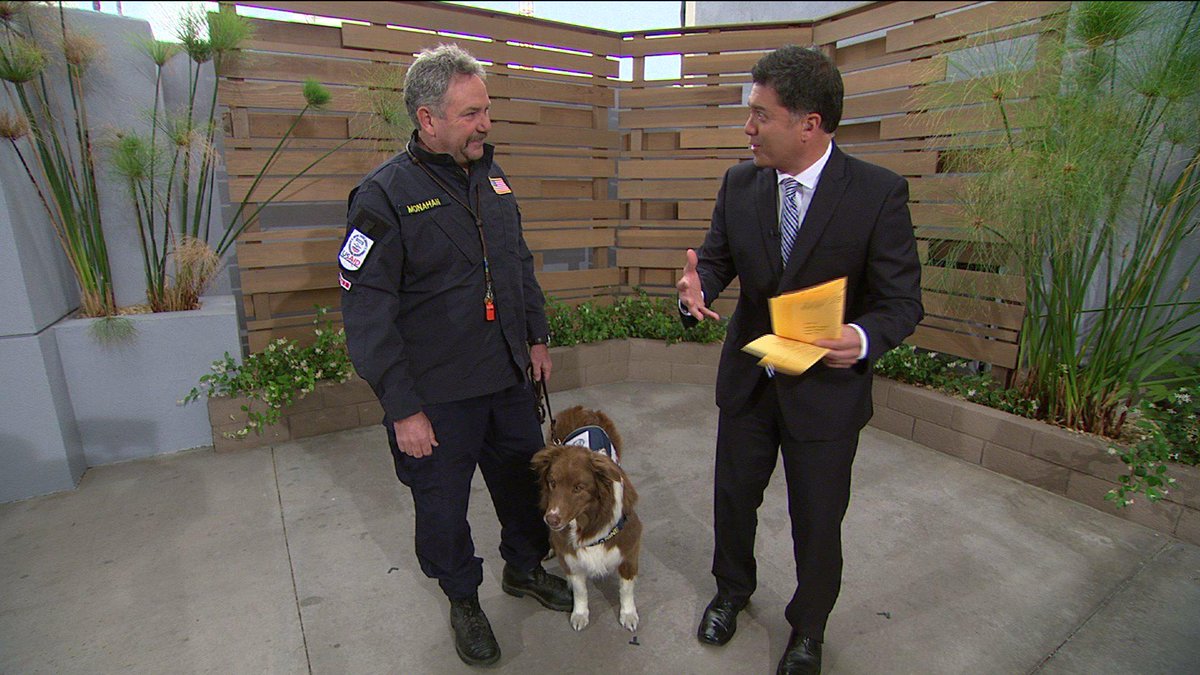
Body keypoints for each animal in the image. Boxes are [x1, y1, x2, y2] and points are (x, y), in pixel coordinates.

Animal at [533, 407, 641, 631]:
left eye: (578, 487)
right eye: (552, 482)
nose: (551, 520)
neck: (589, 520)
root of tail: (580, 409)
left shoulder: (629, 547)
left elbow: (626, 588)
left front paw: (628, 614)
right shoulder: (569, 554)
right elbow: (580, 590)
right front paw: (580, 614)